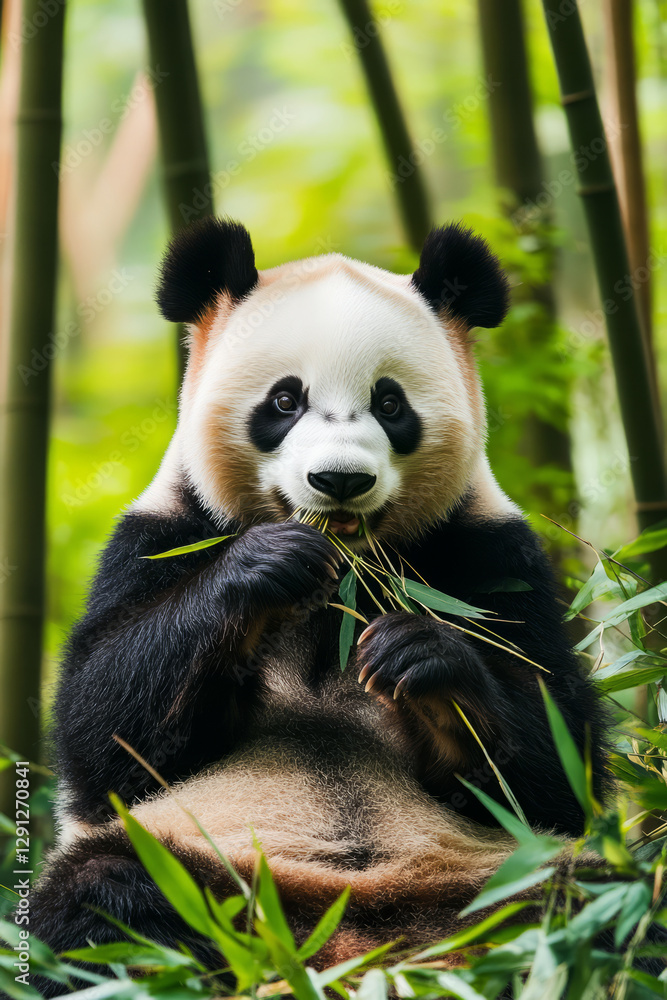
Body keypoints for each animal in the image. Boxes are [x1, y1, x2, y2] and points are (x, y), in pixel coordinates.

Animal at [22, 218, 607, 993]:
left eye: (390, 404)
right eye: (283, 401)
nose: (339, 480)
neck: (345, 575)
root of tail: (345, 946)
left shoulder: (491, 553)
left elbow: (557, 760)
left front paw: (418, 656)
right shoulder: (160, 536)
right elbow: (105, 737)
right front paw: (271, 564)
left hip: (494, 880)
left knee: (588, 905)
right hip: (209, 875)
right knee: (104, 900)